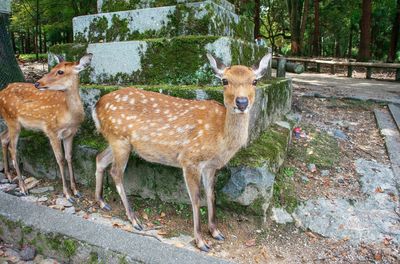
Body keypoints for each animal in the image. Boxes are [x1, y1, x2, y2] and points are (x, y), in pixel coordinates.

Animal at [0, 54, 93, 202]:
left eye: (60, 71)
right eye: (52, 68)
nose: (37, 83)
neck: (69, 116)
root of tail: (1, 92)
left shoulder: (70, 134)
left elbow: (69, 157)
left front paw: (76, 191)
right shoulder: (51, 131)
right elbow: (60, 160)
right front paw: (67, 194)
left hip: (16, 123)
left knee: (3, 137)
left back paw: (9, 176)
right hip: (12, 120)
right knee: (13, 149)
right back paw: (23, 188)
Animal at [91, 52, 272, 252]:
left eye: (255, 81)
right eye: (224, 80)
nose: (241, 102)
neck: (220, 137)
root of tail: (96, 106)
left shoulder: (210, 166)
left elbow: (211, 195)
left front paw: (215, 232)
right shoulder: (190, 159)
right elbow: (196, 199)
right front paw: (201, 241)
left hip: (118, 140)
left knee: (99, 158)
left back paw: (101, 202)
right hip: (119, 139)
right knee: (116, 172)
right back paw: (134, 219)